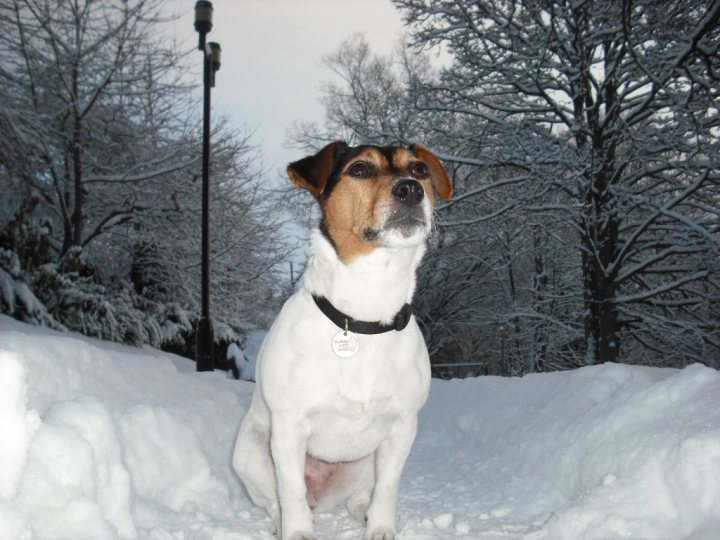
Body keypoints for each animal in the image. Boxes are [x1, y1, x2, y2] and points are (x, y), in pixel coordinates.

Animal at [233, 142, 452, 540]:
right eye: (360, 169)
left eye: (419, 170)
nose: (410, 189)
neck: (365, 317)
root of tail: (322, 497)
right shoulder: (288, 427)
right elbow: (290, 490)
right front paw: (297, 532)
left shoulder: (401, 427)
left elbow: (388, 486)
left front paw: (381, 527)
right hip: (252, 452)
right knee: (277, 498)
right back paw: (280, 520)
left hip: (365, 460)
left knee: (359, 495)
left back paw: (363, 510)